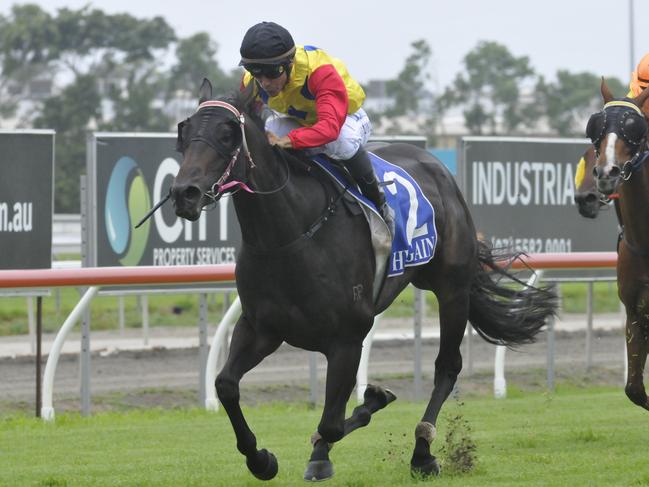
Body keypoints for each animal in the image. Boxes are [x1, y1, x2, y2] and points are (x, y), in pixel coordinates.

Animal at [170, 79, 556, 480]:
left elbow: (331, 423)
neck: (288, 237)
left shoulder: (348, 338)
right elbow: (226, 385)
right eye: (185, 130)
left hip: (452, 289)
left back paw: (423, 451)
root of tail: (438, 166)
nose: (184, 193)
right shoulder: (261, 328)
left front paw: (325, 451)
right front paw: (261, 458)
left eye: (228, 133)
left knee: (447, 366)